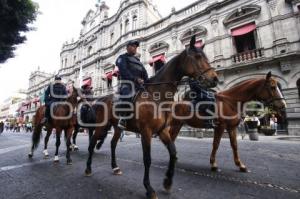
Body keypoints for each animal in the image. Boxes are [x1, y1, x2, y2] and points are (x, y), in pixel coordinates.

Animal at [84, 36, 218, 199]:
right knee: (92, 143)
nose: (215, 79)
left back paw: (115, 167)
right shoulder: (146, 132)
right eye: (198, 57)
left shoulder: (163, 130)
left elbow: (173, 153)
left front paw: (167, 181)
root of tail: (101, 99)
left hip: (117, 127)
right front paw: (149, 188)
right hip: (101, 126)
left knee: (113, 144)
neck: (157, 96)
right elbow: (147, 159)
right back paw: (88, 169)